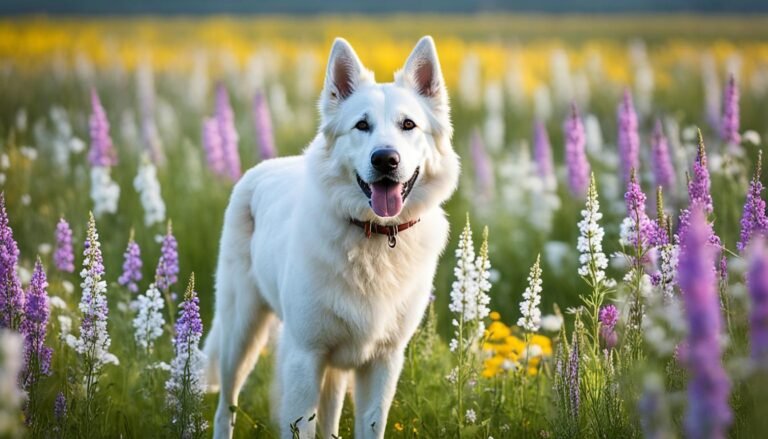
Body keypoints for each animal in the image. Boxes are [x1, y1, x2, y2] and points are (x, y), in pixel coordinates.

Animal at [201, 35, 460, 439]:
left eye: (408, 124)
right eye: (361, 125)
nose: (385, 160)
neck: (372, 236)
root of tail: (262, 169)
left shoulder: (383, 362)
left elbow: (370, 427)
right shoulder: (304, 358)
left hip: (332, 367)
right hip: (239, 334)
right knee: (225, 406)